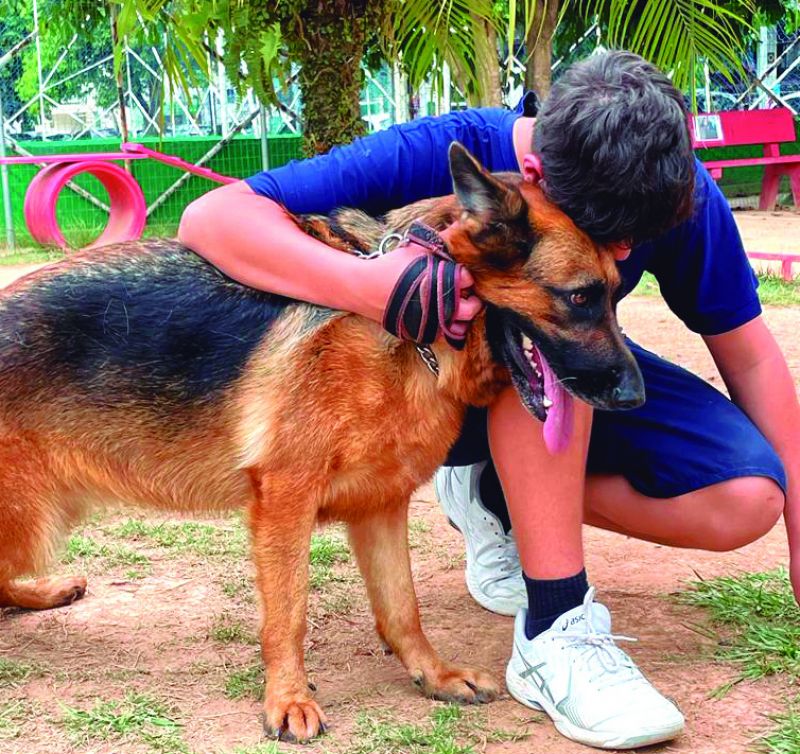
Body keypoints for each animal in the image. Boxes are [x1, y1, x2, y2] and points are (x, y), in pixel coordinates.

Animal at [0, 142, 644, 740]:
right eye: (580, 296)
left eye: (616, 293)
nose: (636, 396)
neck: (412, 336)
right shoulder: (285, 500)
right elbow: (289, 613)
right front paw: (288, 698)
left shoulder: (381, 505)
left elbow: (402, 608)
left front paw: (433, 675)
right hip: (29, 522)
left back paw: (50, 590)